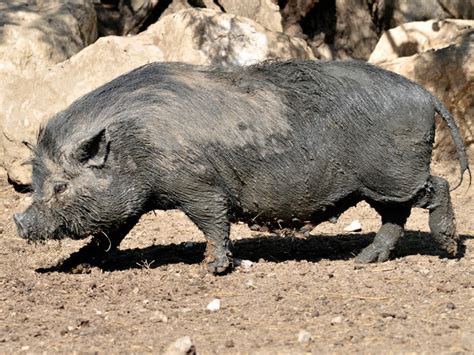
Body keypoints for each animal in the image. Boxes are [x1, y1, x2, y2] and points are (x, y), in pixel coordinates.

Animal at [13, 60, 470, 276]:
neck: (132, 145)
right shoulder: (135, 201)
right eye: (35, 183)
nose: (19, 222)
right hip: (381, 184)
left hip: (394, 174)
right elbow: (110, 234)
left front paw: (212, 269)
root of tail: (423, 93)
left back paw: (449, 249)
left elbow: (214, 221)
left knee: (437, 186)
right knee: (397, 214)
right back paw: (362, 261)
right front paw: (77, 265)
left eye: (59, 186)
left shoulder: (198, 185)